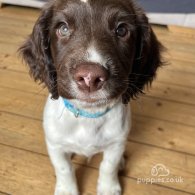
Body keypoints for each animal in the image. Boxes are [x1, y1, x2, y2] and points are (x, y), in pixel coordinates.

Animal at [19, 0, 163, 193]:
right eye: (63, 28)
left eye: (122, 30)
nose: (89, 77)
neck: (88, 115)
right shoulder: (54, 143)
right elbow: (63, 167)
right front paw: (67, 190)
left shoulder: (117, 142)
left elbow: (108, 165)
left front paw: (109, 187)